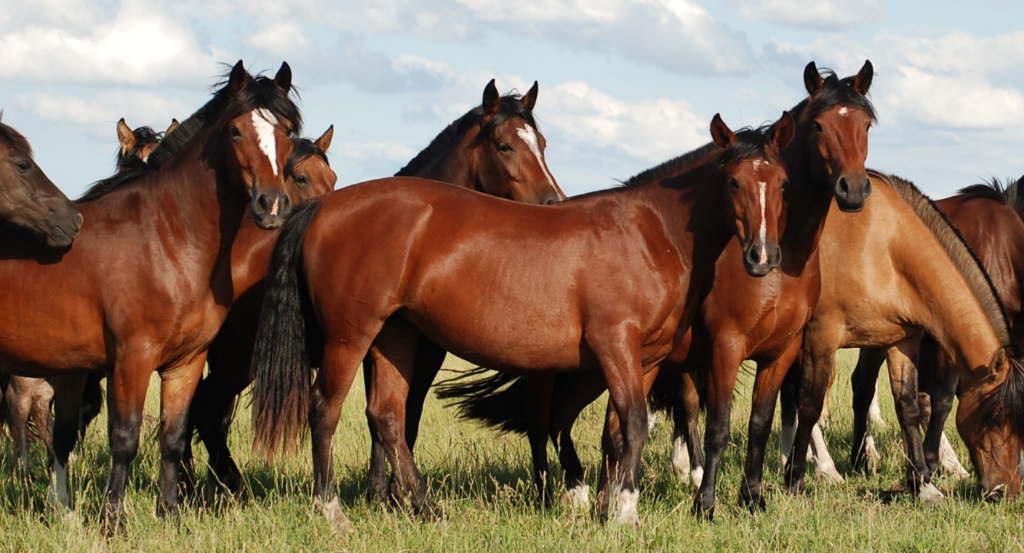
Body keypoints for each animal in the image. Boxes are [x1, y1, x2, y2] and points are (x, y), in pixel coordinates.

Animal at [0, 60, 302, 531]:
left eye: (287, 131)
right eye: (235, 131)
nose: (271, 205)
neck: (166, 239)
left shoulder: (186, 362)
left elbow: (173, 438)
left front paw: (171, 513)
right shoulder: (132, 358)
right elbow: (125, 438)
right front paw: (113, 521)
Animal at [183, 79, 565, 498]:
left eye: (542, 144)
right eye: (505, 146)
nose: (554, 202)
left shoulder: (422, 355)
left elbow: (403, 416)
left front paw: (387, 491)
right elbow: (385, 416)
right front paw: (385, 491)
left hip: (232, 358)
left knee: (204, 409)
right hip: (234, 357)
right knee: (202, 409)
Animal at [249, 112, 794, 530]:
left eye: (783, 183)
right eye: (733, 180)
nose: (763, 256)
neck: (649, 232)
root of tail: (324, 207)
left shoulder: (646, 360)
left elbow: (619, 433)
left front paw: (608, 509)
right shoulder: (614, 345)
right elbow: (636, 426)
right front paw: (625, 515)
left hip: (394, 336)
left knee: (386, 415)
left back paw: (427, 508)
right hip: (351, 335)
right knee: (325, 409)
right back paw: (332, 511)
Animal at [435, 61, 876, 518]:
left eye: (866, 124)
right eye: (821, 125)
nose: (853, 188)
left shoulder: (781, 349)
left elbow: (761, 422)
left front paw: (754, 498)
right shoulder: (726, 346)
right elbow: (719, 425)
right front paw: (706, 503)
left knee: (571, 422)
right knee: (543, 421)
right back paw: (559, 491)